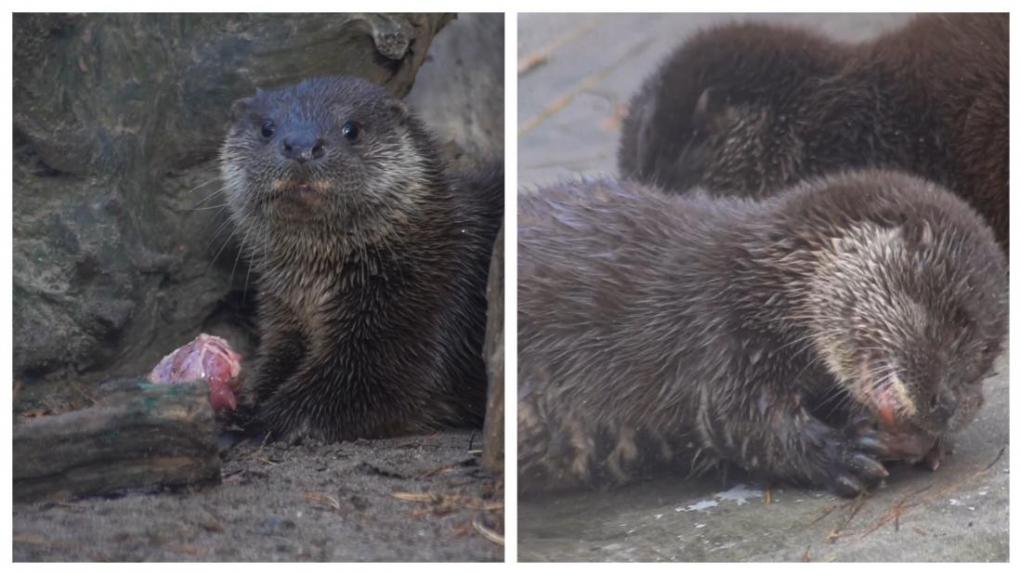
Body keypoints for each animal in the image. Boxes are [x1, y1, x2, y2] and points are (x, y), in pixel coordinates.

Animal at [220, 76, 501, 442]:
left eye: (351, 129)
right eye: (267, 128)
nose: (301, 147)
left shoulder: (421, 312)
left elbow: (354, 389)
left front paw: (254, 424)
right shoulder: (283, 317)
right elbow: (274, 363)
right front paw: (245, 402)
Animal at [522, 170, 1007, 499]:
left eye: (987, 356)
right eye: (948, 321)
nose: (948, 408)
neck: (762, 279)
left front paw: (921, 444)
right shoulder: (718, 334)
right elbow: (739, 420)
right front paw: (844, 455)